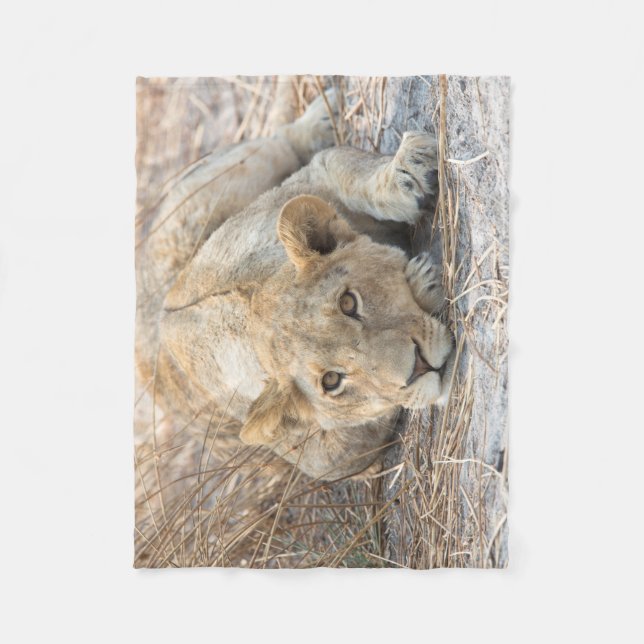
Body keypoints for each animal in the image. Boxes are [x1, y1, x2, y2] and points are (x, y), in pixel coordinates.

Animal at [136, 89, 455, 481]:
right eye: (332, 382)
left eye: (348, 303)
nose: (420, 367)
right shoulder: (332, 461)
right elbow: (379, 418)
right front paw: (422, 280)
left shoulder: (300, 187)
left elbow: (344, 167)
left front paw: (409, 170)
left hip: (223, 184)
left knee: (279, 141)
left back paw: (318, 119)